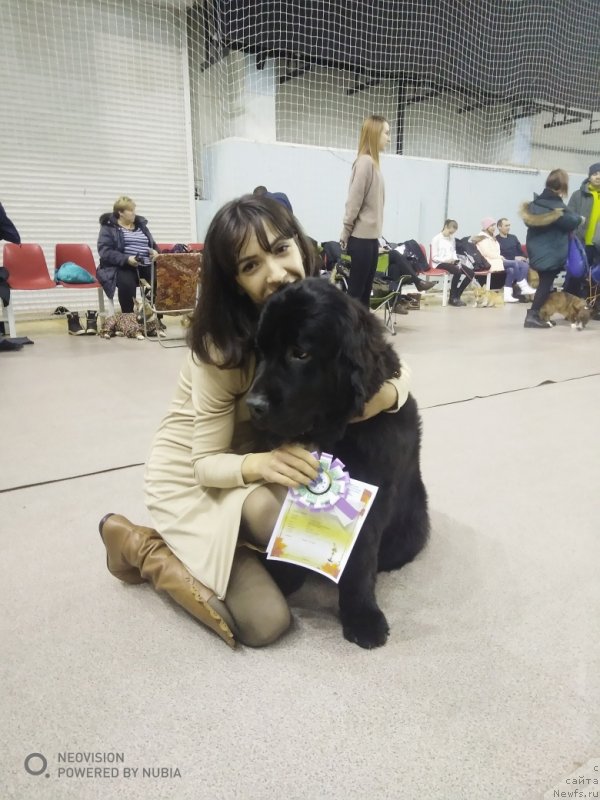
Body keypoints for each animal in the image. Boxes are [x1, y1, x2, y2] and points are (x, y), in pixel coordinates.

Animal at [246, 278, 428, 648]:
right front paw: (283, 576)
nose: (253, 405)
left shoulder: (373, 498)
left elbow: (360, 560)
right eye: (261, 351)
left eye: (300, 353)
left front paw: (362, 617)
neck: (334, 432)